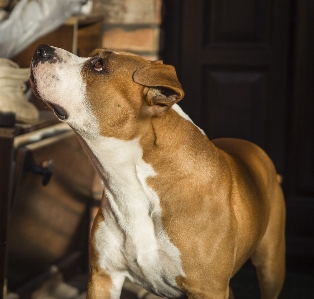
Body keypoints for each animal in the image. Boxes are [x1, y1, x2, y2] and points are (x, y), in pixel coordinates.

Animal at [30, 45, 286, 299]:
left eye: (99, 66)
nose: (42, 49)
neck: (131, 184)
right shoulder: (103, 277)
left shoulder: (208, 289)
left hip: (271, 265)